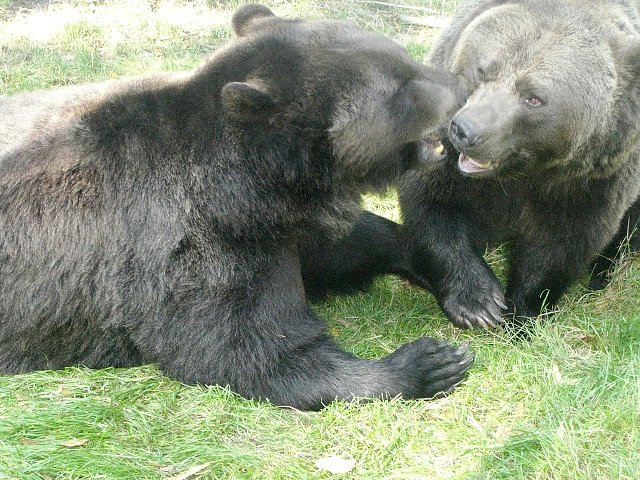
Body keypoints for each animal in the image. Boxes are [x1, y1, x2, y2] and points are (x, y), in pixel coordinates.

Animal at [0, 4, 473, 410]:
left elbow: (341, 247)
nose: (459, 89)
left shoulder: (280, 224)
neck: (248, 189)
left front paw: (463, 283)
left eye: (403, 56)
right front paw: (427, 363)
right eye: (402, 89)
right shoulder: (186, 249)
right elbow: (242, 345)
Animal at [398, 0, 640, 330]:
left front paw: (524, 312)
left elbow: (559, 246)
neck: (524, 173)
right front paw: (478, 302)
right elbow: (432, 207)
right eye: (483, 70)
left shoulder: (591, 182)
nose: (465, 130)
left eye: (534, 97)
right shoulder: (448, 163)